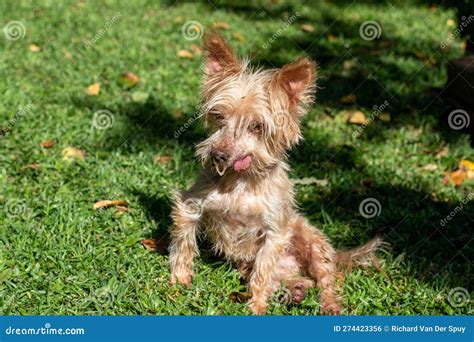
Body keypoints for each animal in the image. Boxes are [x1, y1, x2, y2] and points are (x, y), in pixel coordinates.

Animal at [168, 32, 384, 316]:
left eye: (257, 126)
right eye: (219, 117)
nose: (218, 155)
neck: (242, 182)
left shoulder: (275, 232)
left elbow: (263, 272)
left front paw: (257, 307)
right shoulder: (190, 205)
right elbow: (184, 243)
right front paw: (179, 282)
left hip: (310, 238)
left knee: (325, 277)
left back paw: (328, 303)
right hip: (250, 265)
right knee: (290, 279)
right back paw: (295, 290)